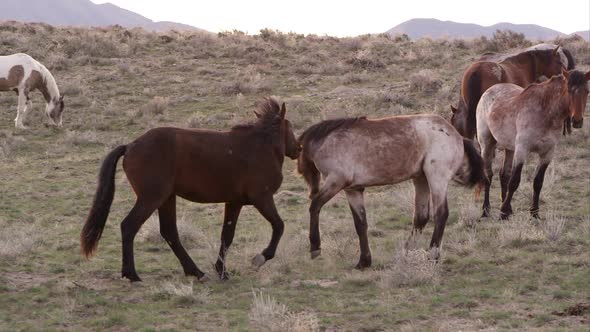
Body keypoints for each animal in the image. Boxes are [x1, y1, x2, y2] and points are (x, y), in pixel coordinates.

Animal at [81, 97, 302, 282]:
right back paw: (132, 274)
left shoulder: (234, 202)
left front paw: (222, 271)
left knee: (169, 232)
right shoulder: (262, 197)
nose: (298, 149)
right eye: (289, 126)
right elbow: (279, 226)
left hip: (167, 198)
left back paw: (196, 272)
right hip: (151, 198)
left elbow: (227, 236)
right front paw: (261, 258)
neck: (261, 147)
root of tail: (130, 146)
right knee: (129, 226)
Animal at [298, 114, 488, 268]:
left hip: (436, 179)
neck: (329, 141)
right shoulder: (353, 190)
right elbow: (360, 224)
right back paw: (405, 253)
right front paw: (364, 261)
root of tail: (458, 136)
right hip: (421, 179)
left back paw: (432, 256)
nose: (310, 188)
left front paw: (315, 247)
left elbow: (314, 206)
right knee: (421, 217)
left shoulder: (336, 181)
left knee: (441, 214)